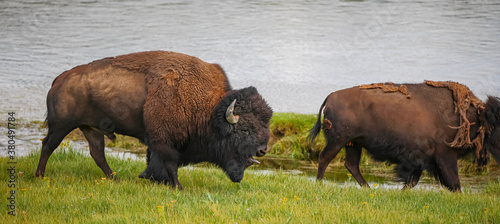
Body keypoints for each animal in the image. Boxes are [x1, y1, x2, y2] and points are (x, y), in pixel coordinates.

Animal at [34, 50, 274, 189]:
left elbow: (156, 161)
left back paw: (115, 179)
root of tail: (59, 79)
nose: (263, 149)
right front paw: (176, 186)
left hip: (91, 129)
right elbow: (169, 162)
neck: (207, 108)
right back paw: (39, 177)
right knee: (48, 146)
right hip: (61, 126)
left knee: (97, 153)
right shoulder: (163, 139)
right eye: (245, 129)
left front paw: (152, 178)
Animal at [308, 81, 500, 192]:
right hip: (338, 141)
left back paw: (368, 188)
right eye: (497, 125)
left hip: (353, 143)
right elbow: (454, 181)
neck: (475, 116)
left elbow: (413, 180)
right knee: (325, 158)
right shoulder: (444, 156)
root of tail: (331, 97)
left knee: (351, 164)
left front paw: (402, 192)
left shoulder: (422, 159)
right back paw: (319, 184)